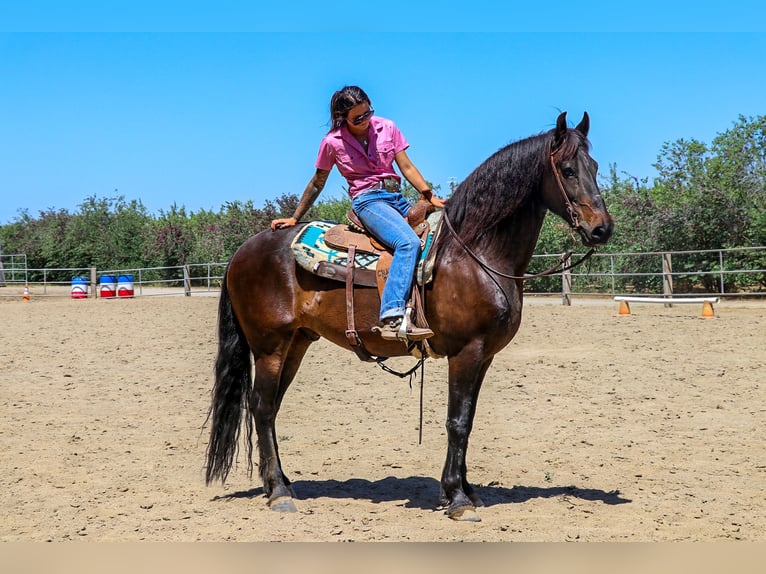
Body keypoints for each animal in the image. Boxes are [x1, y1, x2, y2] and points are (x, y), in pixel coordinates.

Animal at [207, 111, 616, 520]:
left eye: (595, 167)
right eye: (568, 170)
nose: (602, 228)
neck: (474, 253)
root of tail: (243, 250)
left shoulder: (484, 356)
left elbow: (468, 420)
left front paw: (464, 490)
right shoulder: (466, 352)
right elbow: (457, 421)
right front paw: (457, 498)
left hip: (296, 343)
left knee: (271, 407)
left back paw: (281, 483)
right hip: (269, 346)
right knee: (261, 407)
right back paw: (278, 492)